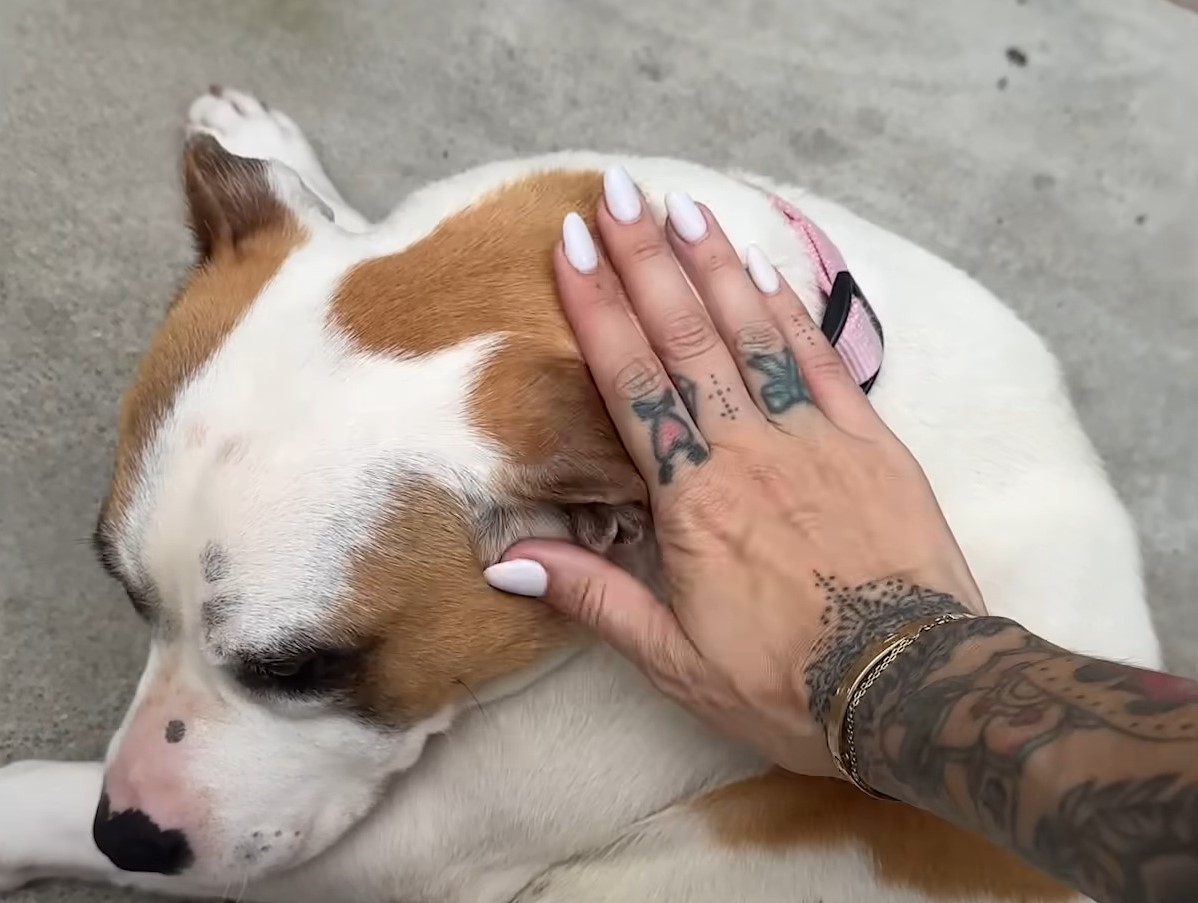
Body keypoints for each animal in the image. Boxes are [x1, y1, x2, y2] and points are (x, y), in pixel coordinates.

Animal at [0, 86, 1159, 900]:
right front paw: (271, 145)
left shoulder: (389, 852)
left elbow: (34, 795)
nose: (129, 832)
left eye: (307, 667)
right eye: (130, 599)